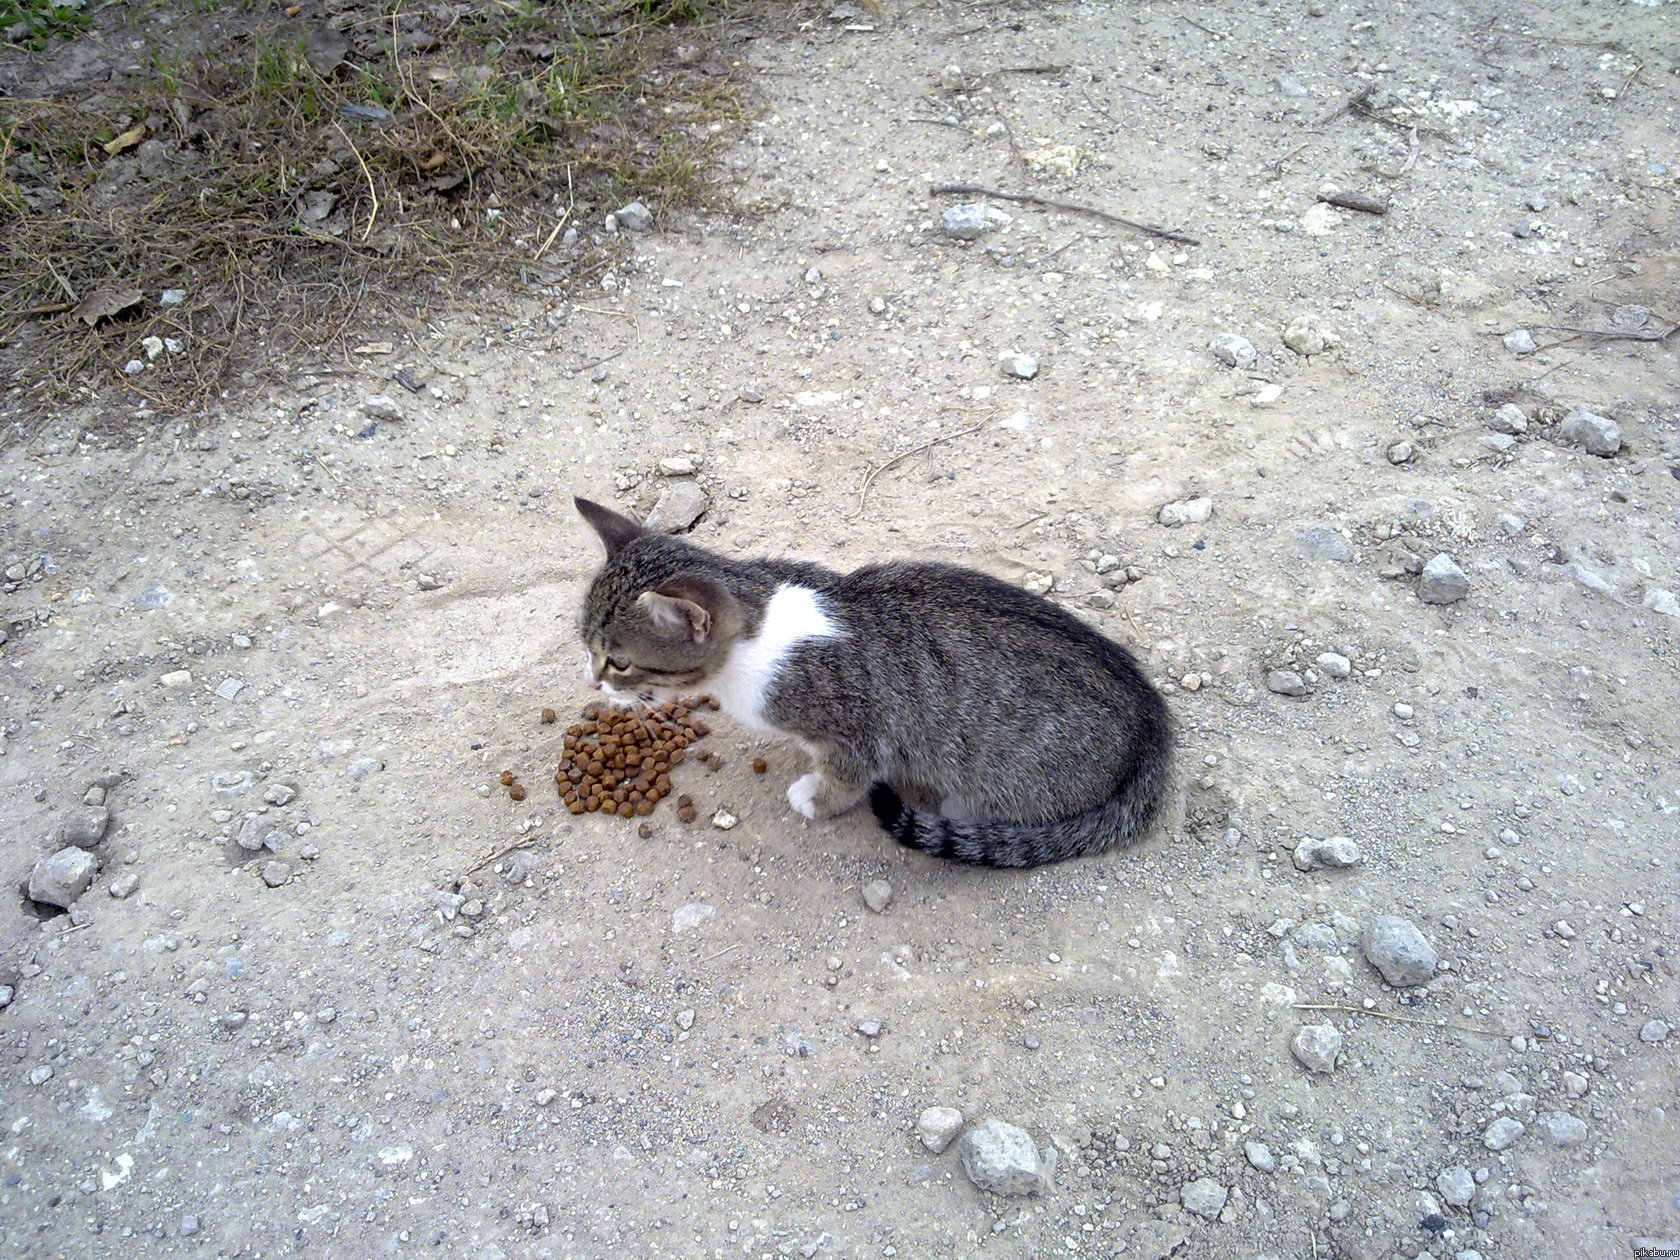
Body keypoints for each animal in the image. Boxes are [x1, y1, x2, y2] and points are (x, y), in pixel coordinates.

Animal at [571, 497, 1176, 873]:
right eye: (585, 644)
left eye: (619, 662)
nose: (592, 681)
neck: (759, 627)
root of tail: (1152, 725)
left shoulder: (856, 730)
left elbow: (846, 778)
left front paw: (817, 798)